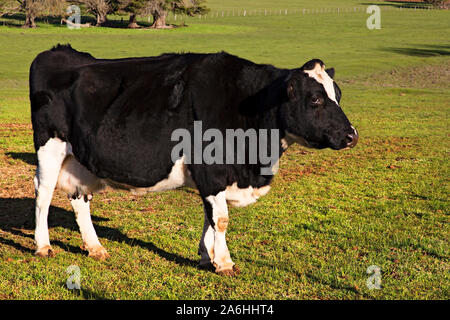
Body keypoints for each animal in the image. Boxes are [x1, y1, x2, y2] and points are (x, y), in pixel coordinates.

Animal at [29, 44, 358, 276]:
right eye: (315, 99)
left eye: (338, 95)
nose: (351, 135)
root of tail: (58, 51)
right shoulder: (211, 170)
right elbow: (221, 219)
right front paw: (224, 262)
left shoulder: (214, 176)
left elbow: (210, 217)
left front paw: (205, 256)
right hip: (50, 146)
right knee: (43, 193)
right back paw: (43, 246)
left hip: (79, 159)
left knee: (79, 197)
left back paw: (95, 248)